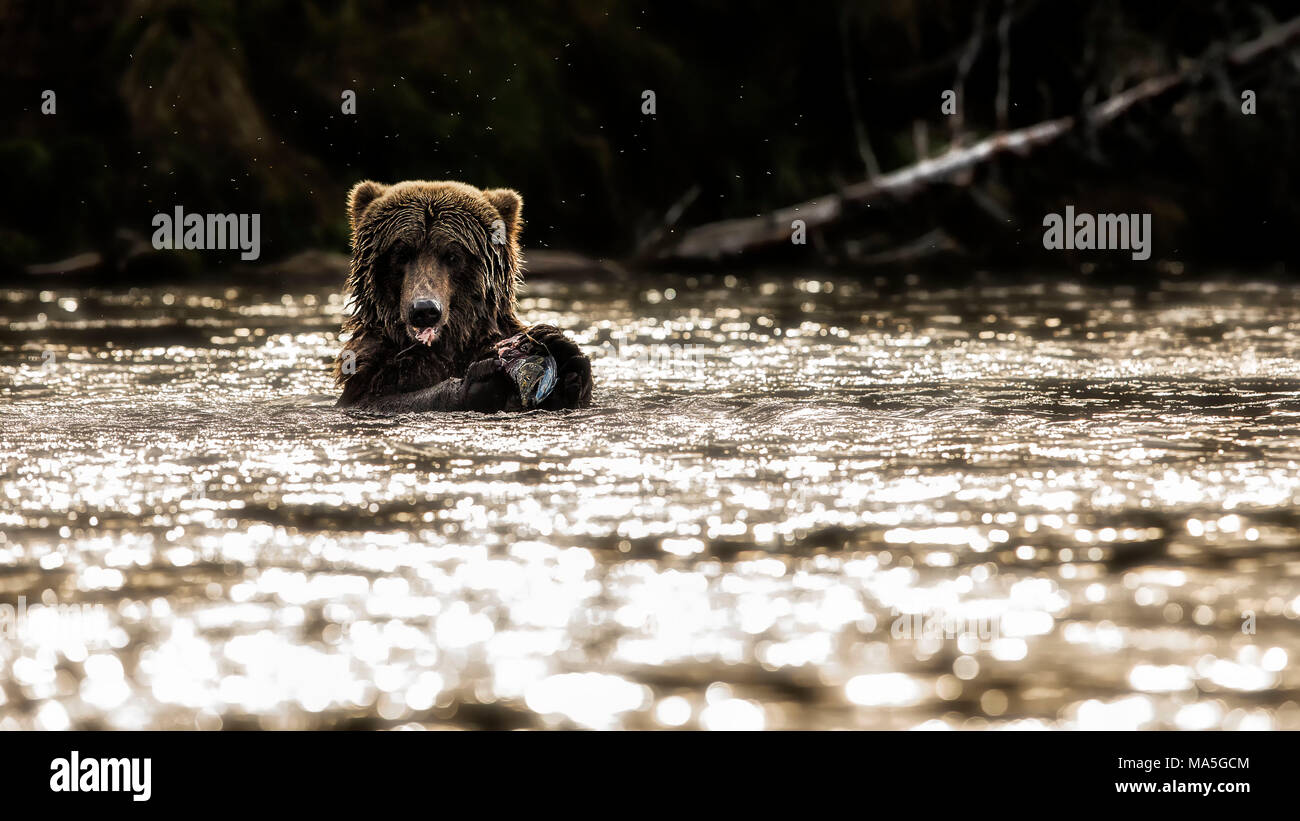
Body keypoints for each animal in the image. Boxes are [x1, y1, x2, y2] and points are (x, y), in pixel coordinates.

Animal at [338, 179, 595, 410]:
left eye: (452, 256)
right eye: (401, 254)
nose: (424, 310)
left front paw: (563, 350)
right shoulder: (375, 367)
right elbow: (383, 399)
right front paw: (482, 380)